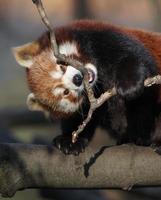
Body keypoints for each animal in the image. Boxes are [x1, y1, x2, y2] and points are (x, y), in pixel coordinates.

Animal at [12, 19, 161, 155]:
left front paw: (130, 85)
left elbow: (134, 57)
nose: (77, 79)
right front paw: (69, 140)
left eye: (62, 66)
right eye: (65, 92)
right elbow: (82, 120)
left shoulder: (102, 37)